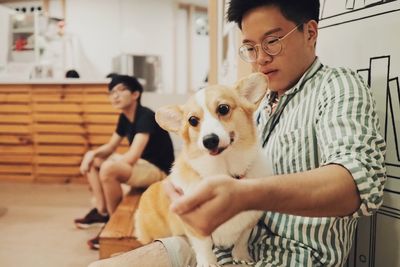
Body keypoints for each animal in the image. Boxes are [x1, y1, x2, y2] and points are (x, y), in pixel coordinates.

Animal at [134, 73, 272, 267]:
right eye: (192, 120)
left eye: (223, 108)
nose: (209, 140)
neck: (223, 170)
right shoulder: (195, 226)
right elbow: (204, 246)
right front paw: (209, 262)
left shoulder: (250, 221)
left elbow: (242, 239)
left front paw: (241, 256)